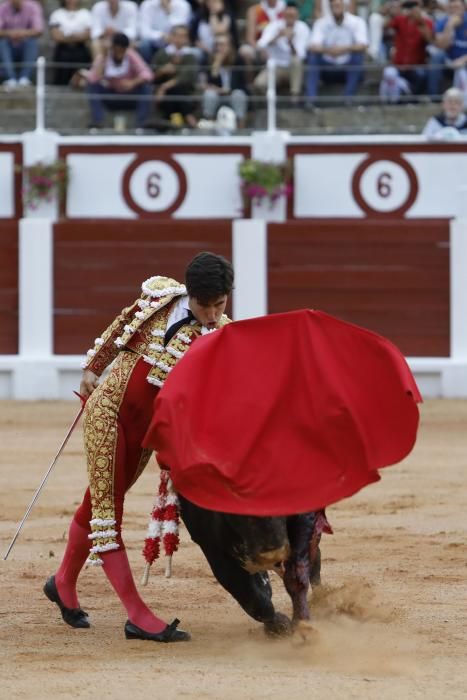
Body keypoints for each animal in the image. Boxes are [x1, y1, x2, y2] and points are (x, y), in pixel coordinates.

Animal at [177, 494, 330, 636]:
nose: (272, 551)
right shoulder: (212, 547)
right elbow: (252, 598)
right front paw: (278, 625)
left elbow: (295, 578)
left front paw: (300, 623)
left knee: (313, 561)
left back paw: (321, 599)